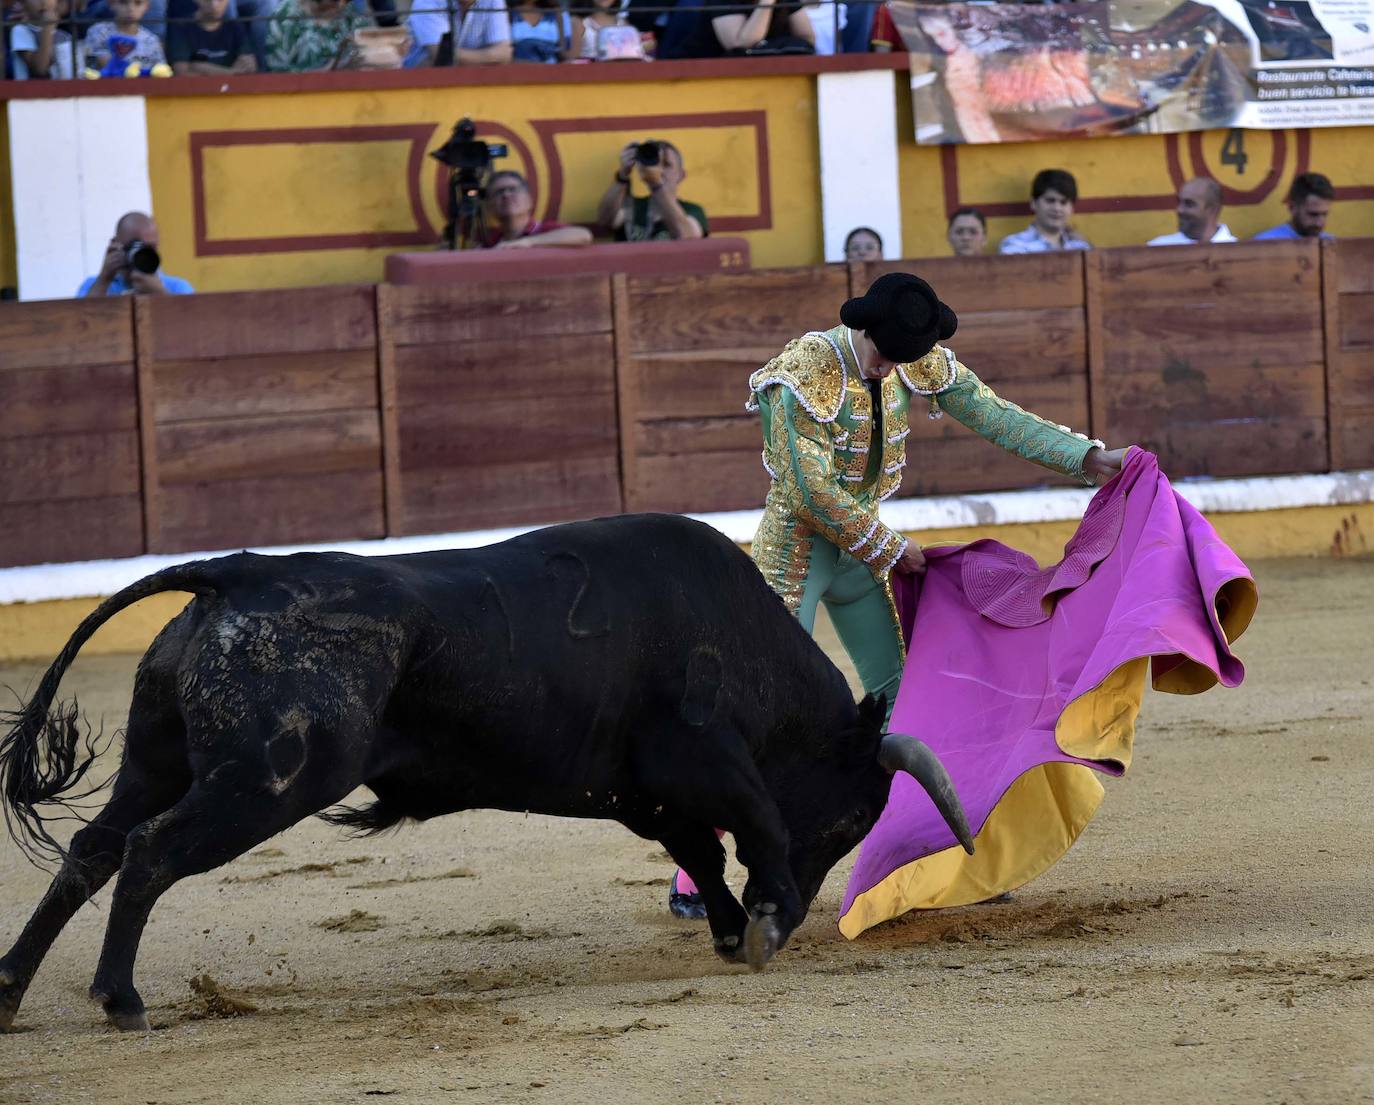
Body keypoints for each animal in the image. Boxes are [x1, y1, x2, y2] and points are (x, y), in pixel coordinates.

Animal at [0, 514, 967, 1033]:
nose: (803, 913)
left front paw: (735, 928)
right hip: (263, 784)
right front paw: (764, 920)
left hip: (158, 759)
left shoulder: (641, 792)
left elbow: (701, 847)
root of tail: (236, 579)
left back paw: (11, 990)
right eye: (853, 820)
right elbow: (757, 821)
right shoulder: (698, 757)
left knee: (93, 849)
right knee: (150, 853)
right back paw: (120, 998)